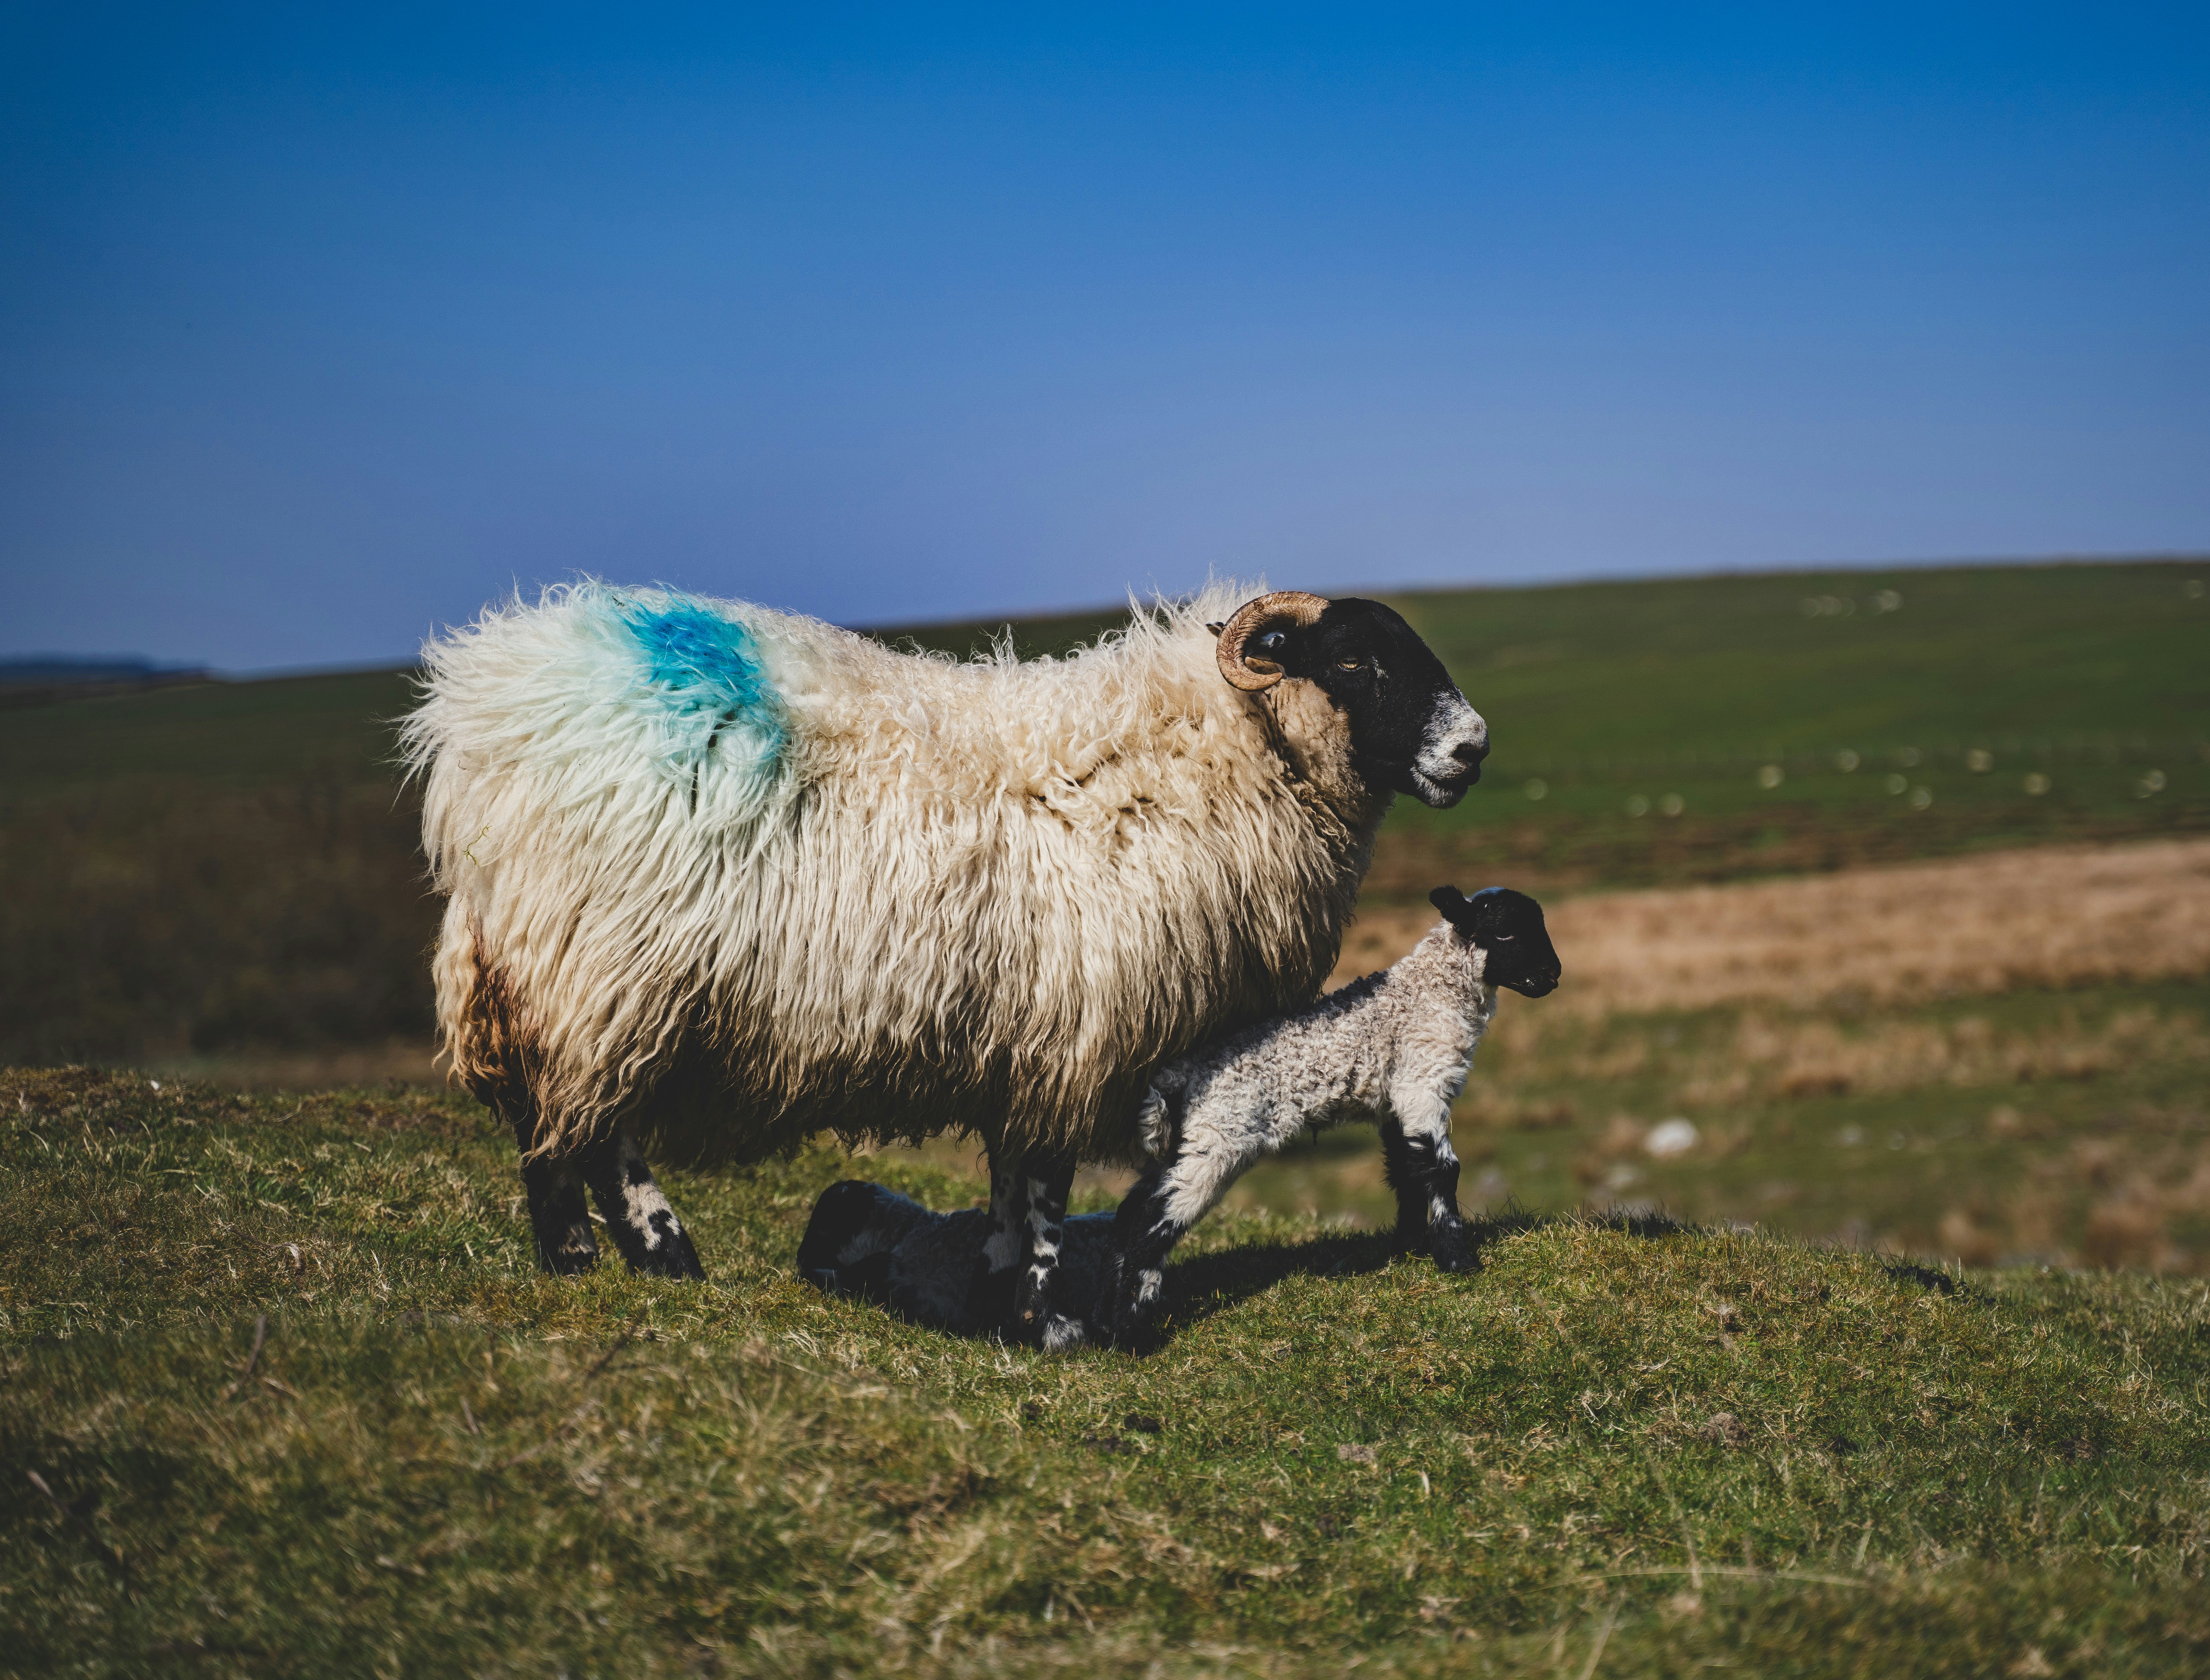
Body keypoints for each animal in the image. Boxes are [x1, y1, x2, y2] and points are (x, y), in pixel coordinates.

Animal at [400, 579, 1489, 1347]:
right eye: (1353, 658)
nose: (1472, 749)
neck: (1201, 755)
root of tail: (484, 708)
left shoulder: (1026, 1038)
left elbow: (1010, 1184)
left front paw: (1001, 1297)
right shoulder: (1072, 1029)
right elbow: (1044, 1185)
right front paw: (1051, 1326)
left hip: (541, 962)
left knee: (552, 1122)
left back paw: (591, 1261)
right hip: (605, 963)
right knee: (589, 1128)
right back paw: (651, 1256)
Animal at [1101, 885, 1559, 1349]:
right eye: (1504, 933)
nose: (1553, 975)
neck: (1432, 993)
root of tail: (1179, 1074)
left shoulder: (1394, 1100)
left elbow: (1406, 1170)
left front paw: (1408, 1247)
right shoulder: (1422, 1083)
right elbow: (1441, 1170)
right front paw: (1457, 1259)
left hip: (1186, 1140)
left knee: (1132, 1210)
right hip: (1221, 1136)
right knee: (1152, 1224)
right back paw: (1132, 1336)